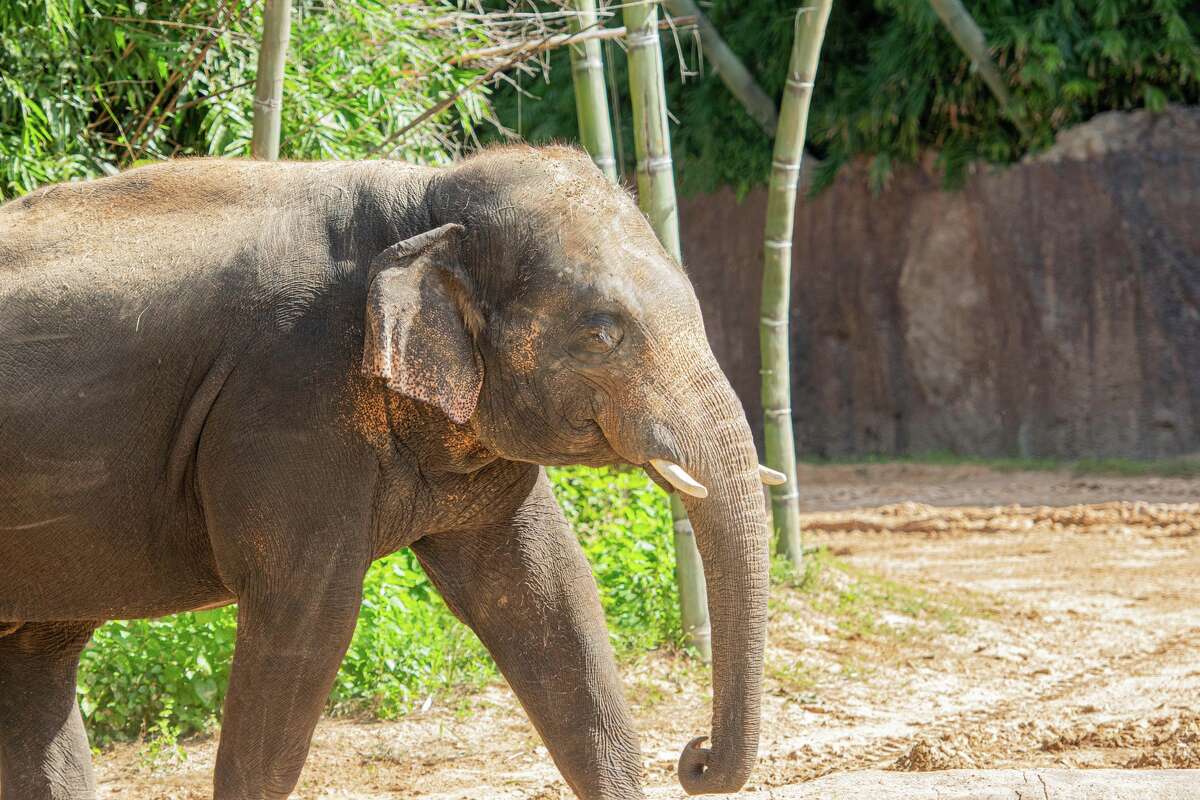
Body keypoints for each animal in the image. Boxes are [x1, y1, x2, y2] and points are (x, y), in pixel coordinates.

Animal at [0, 145, 772, 800]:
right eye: (602, 332)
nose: (696, 757)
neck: (421, 201)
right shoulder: (288, 401)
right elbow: (308, 619)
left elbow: (548, 596)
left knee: (37, 663)